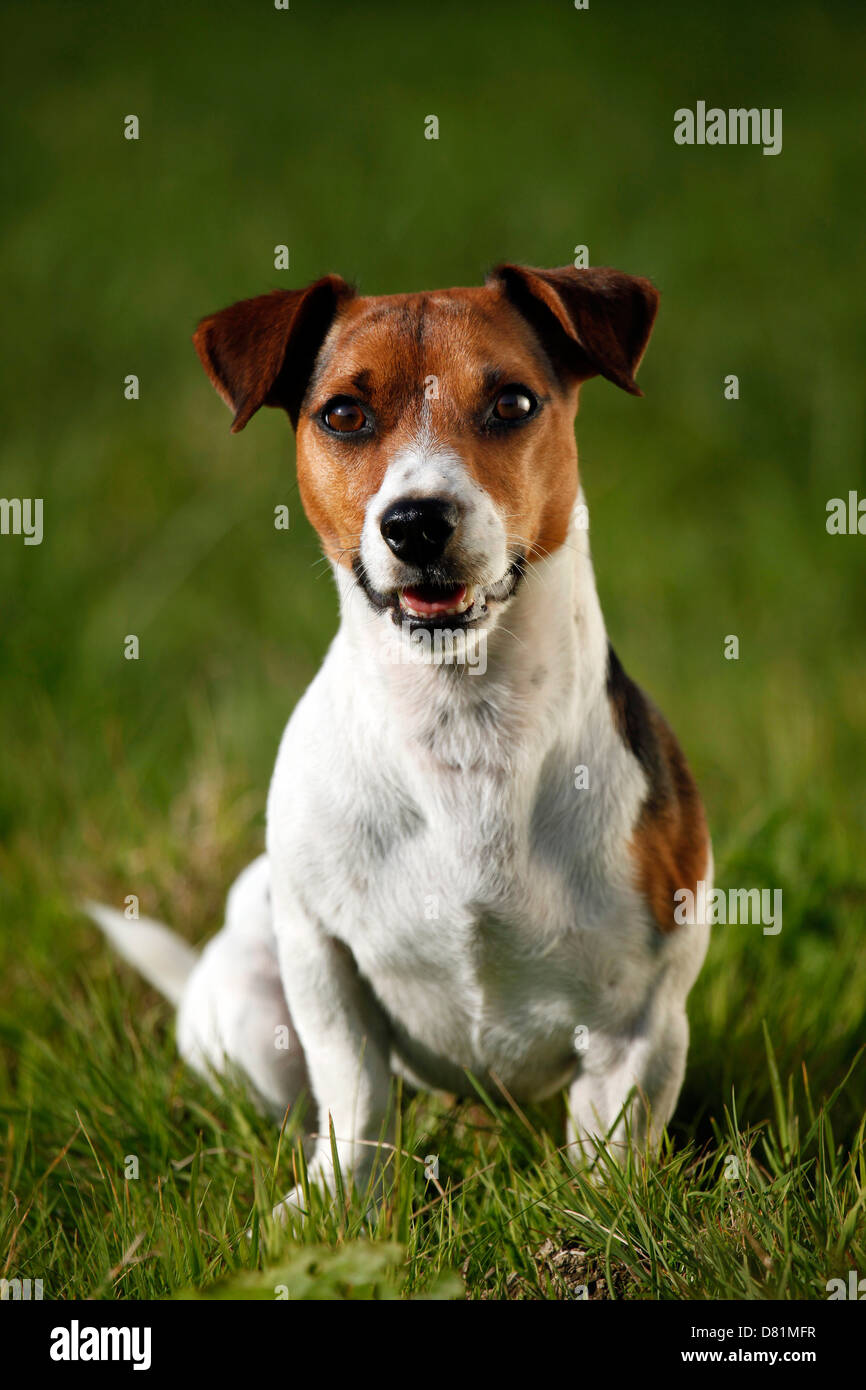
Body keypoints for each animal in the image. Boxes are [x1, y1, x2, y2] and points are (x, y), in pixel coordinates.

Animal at [86, 261, 711, 1217]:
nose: (416, 521)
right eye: (344, 413)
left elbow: (608, 1149)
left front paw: (600, 1220)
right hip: (250, 1012)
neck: (464, 723)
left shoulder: (641, 1018)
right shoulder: (322, 963)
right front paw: (334, 1208)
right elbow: (355, 1093)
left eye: (513, 402)